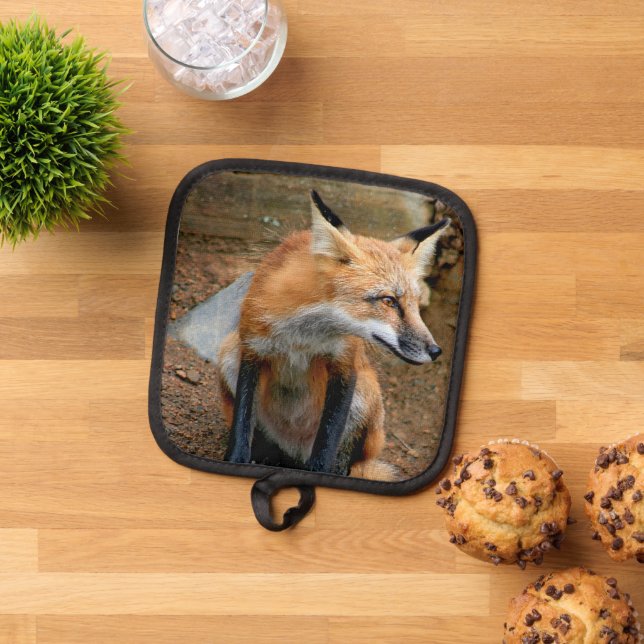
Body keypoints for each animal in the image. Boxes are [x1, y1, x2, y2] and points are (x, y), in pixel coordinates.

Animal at [217, 190, 450, 480]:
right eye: (389, 301)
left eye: (416, 304)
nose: (436, 351)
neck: (302, 337)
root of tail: (293, 454)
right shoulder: (251, 351)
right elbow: (242, 425)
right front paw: (236, 460)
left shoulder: (344, 364)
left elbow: (328, 439)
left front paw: (321, 473)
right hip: (228, 355)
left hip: (365, 396)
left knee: (344, 459)